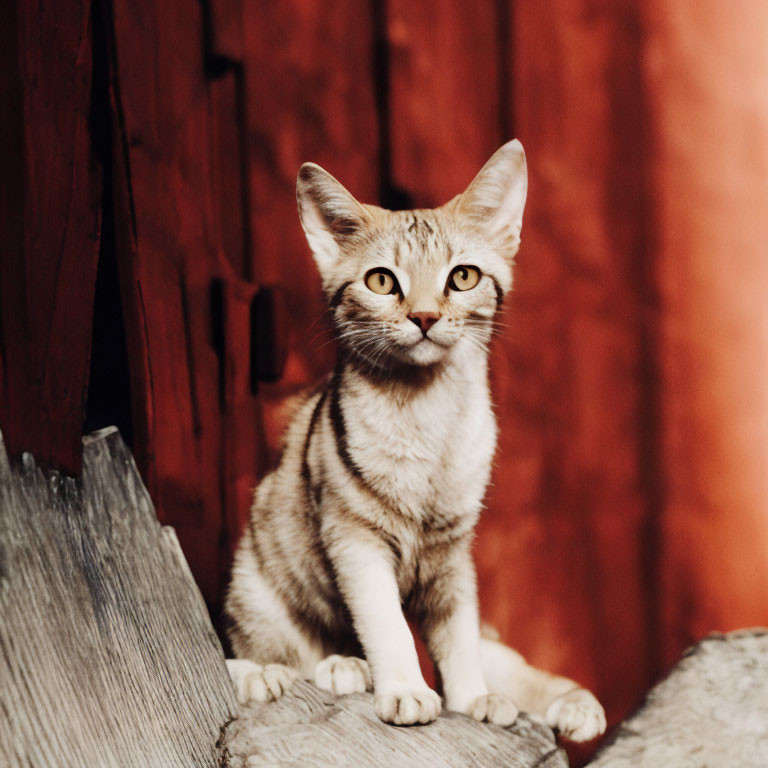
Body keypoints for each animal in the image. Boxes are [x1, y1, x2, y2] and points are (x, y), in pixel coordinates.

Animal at [225, 141, 608, 740]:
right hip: (258, 591)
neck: (426, 416)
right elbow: (388, 625)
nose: (425, 316)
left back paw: (571, 704)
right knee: (282, 654)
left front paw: (472, 698)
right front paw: (405, 688)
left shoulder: (453, 555)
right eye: (382, 281)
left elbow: (460, 639)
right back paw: (323, 668)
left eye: (463, 277)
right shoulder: (355, 541)